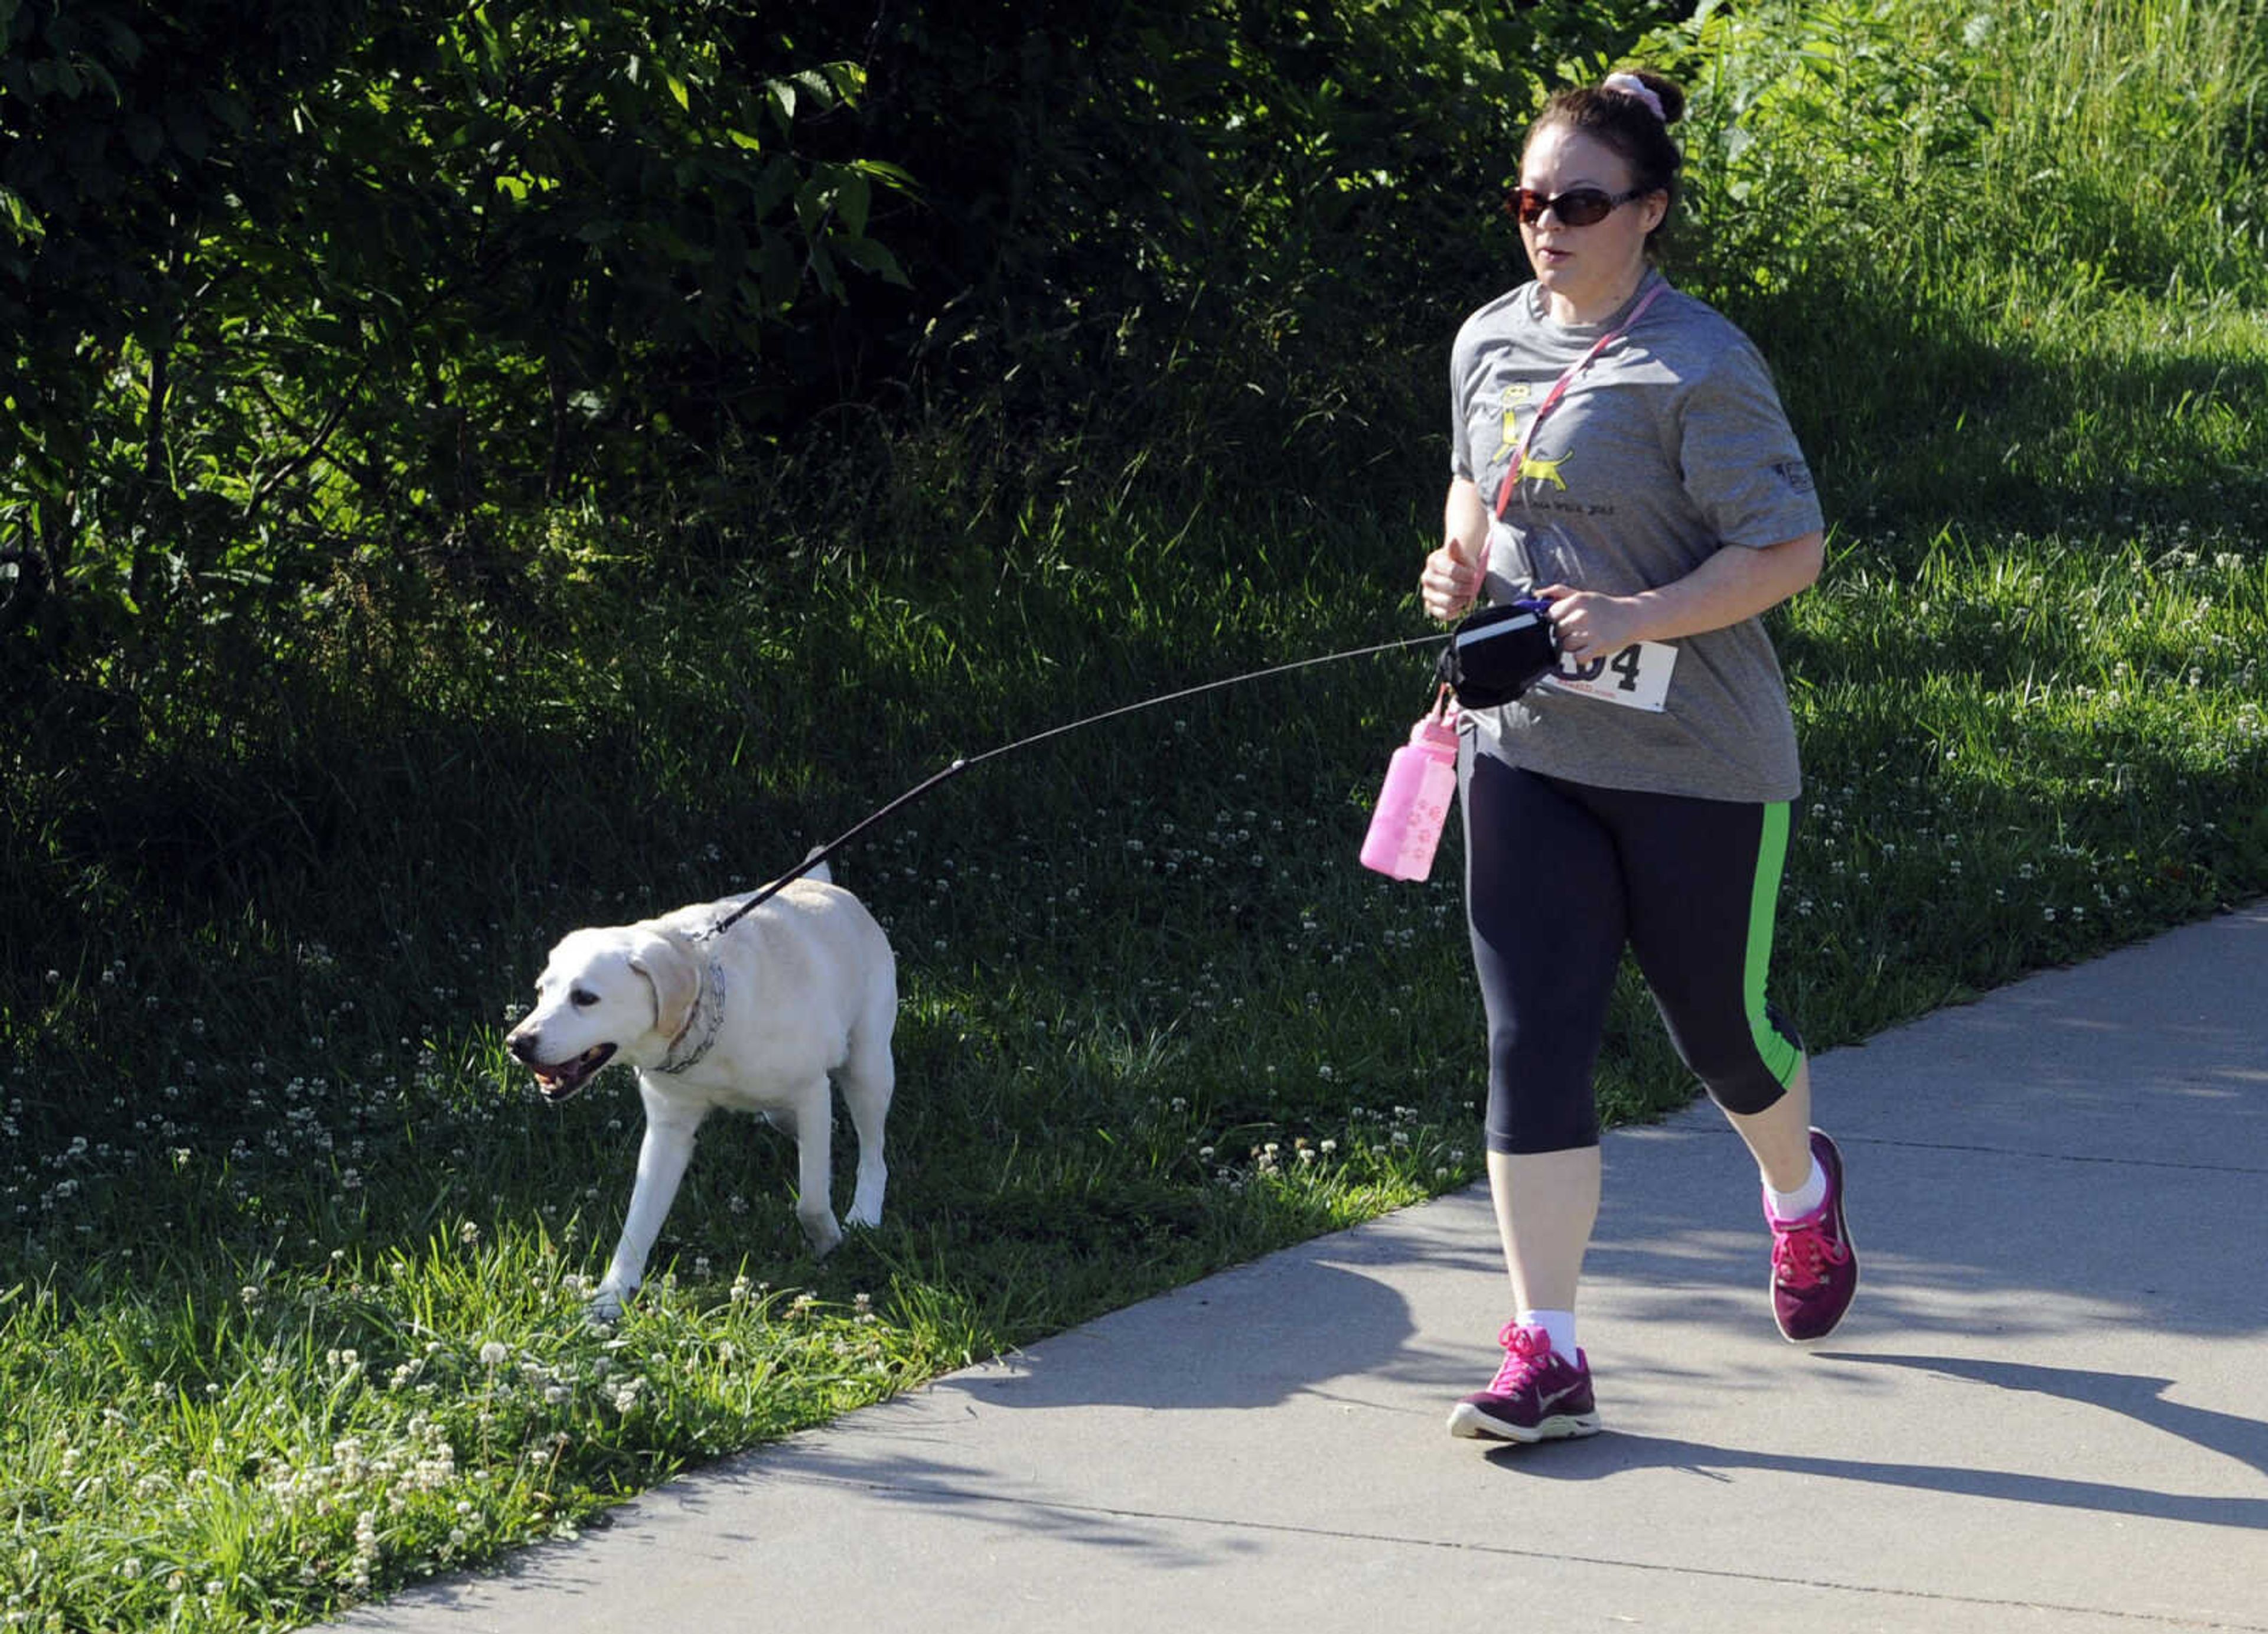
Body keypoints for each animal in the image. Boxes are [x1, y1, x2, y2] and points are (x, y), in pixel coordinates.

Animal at [506, 861, 893, 1323]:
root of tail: (824, 884)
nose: (517, 1043)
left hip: (869, 1068)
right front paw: (610, 1296)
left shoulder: (811, 1092)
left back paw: (865, 1213)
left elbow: (812, 1200)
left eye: (585, 998)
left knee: (873, 1153)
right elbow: (637, 1223)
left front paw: (828, 1241)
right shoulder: (668, 1130)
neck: (706, 1010)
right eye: (541, 992)